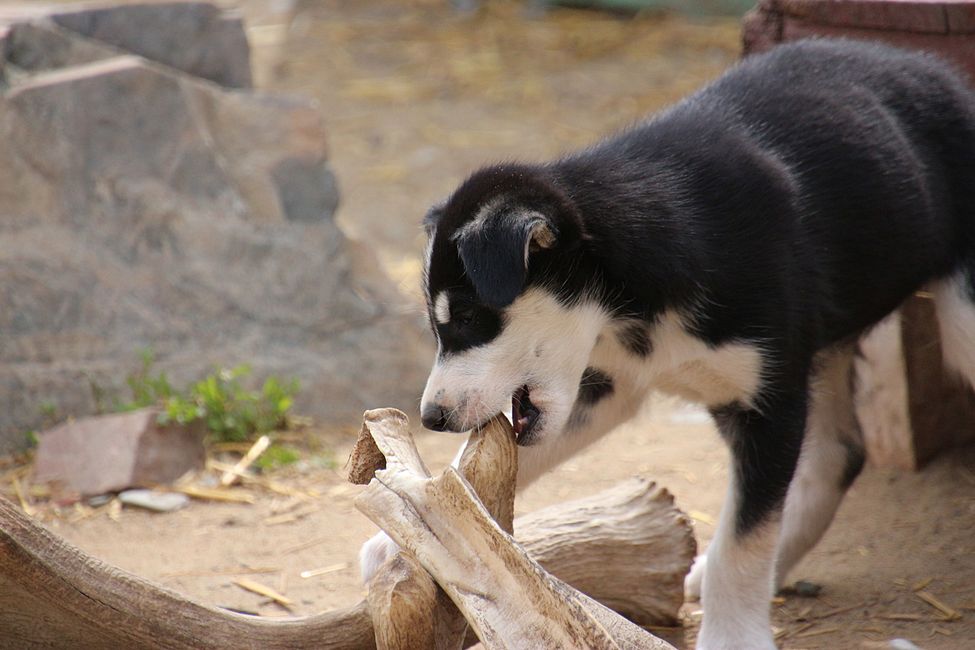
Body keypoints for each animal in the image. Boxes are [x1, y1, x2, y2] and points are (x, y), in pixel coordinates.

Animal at [368, 38, 975, 644]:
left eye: (470, 317)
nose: (433, 418)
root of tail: (931, 69)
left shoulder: (767, 400)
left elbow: (744, 543)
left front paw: (734, 637)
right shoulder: (609, 386)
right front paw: (405, 535)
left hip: (957, 322)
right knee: (838, 455)